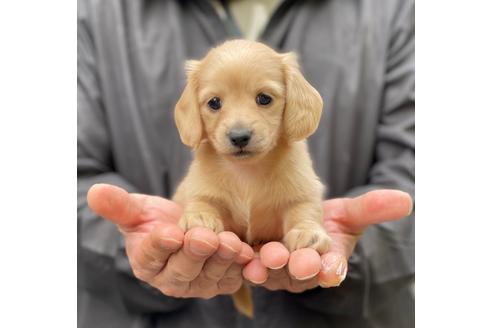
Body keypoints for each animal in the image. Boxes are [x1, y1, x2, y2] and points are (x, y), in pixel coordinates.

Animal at [172, 39, 330, 316]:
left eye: (264, 98)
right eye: (214, 103)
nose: (239, 137)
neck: (247, 171)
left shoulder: (302, 191)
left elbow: (304, 210)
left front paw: (307, 233)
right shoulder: (200, 187)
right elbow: (202, 201)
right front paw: (199, 217)